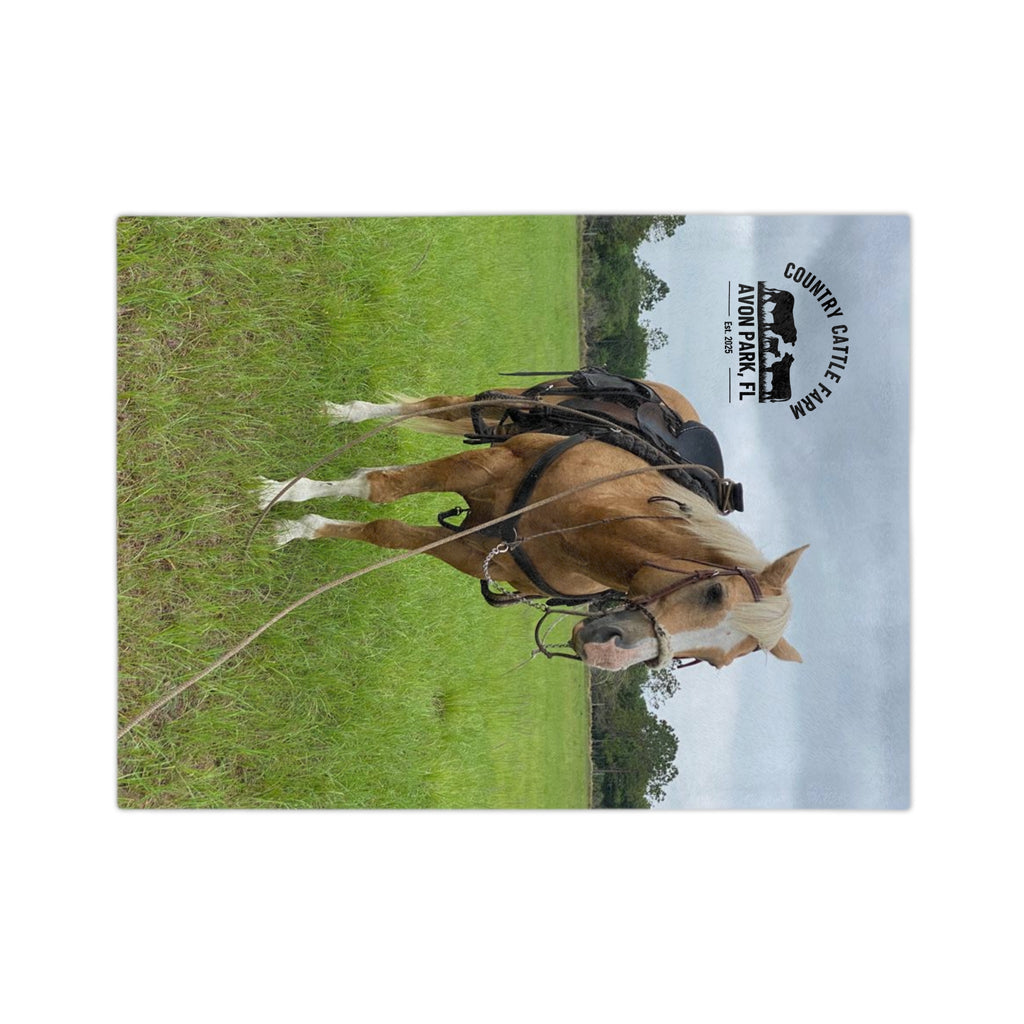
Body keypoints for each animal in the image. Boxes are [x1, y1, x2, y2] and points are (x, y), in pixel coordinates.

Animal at [258, 373, 807, 673]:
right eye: (713, 594)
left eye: (715, 660)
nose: (607, 656)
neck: (578, 526)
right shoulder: (486, 466)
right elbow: (379, 488)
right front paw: (285, 499)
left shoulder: (475, 553)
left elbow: (384, 531)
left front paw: (303, 526)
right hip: (508, 402)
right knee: (438, 406)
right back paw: (349, 413)